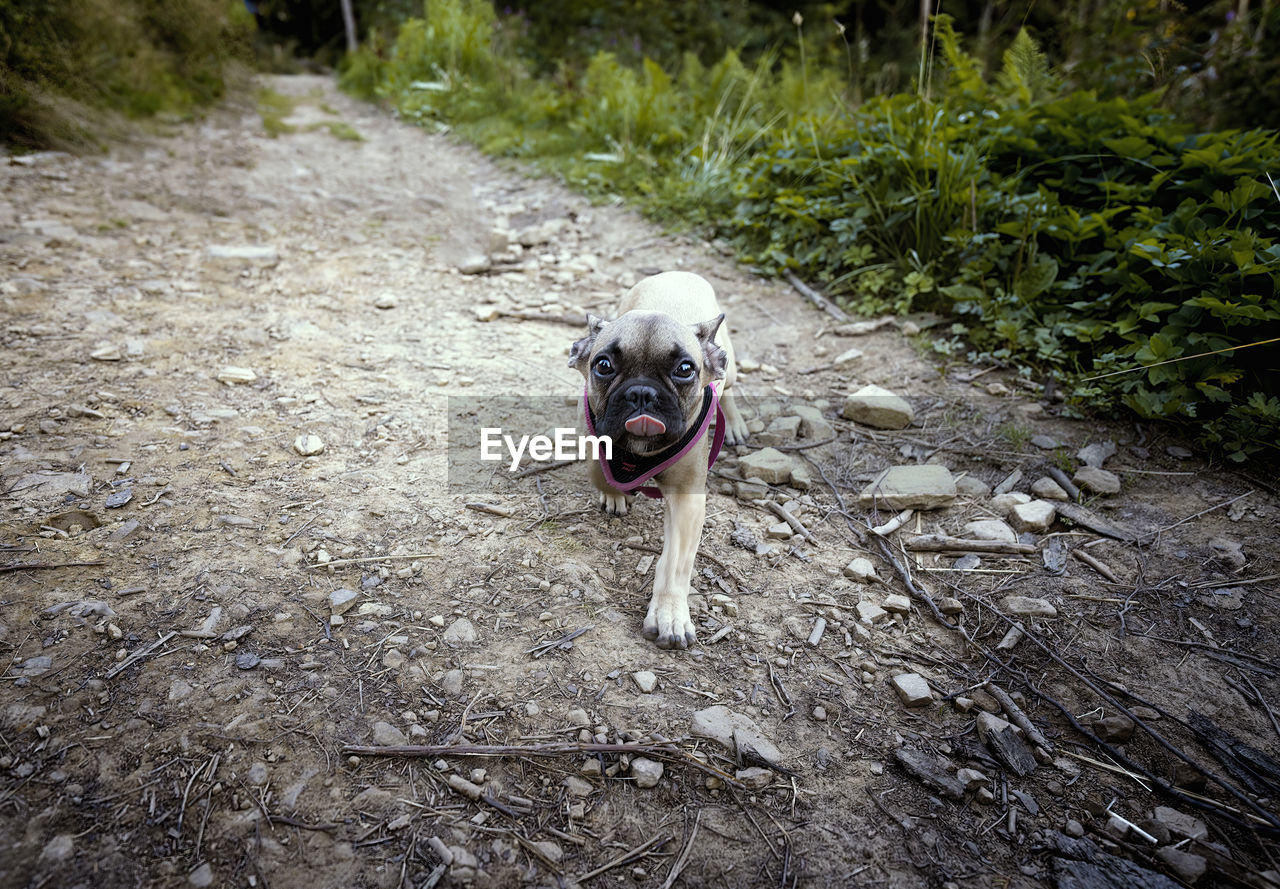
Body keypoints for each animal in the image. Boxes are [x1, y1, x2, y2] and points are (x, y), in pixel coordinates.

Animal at [570, 269, 747, 647]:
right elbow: (599, 471)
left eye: (685, 369)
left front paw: (670, 614)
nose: (642, 392)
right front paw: (615, 493)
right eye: (603, 365)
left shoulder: (687, 499)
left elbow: (675, 564)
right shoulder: (593, 437)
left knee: (731, 388)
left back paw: (736, 422)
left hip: (731, 367)